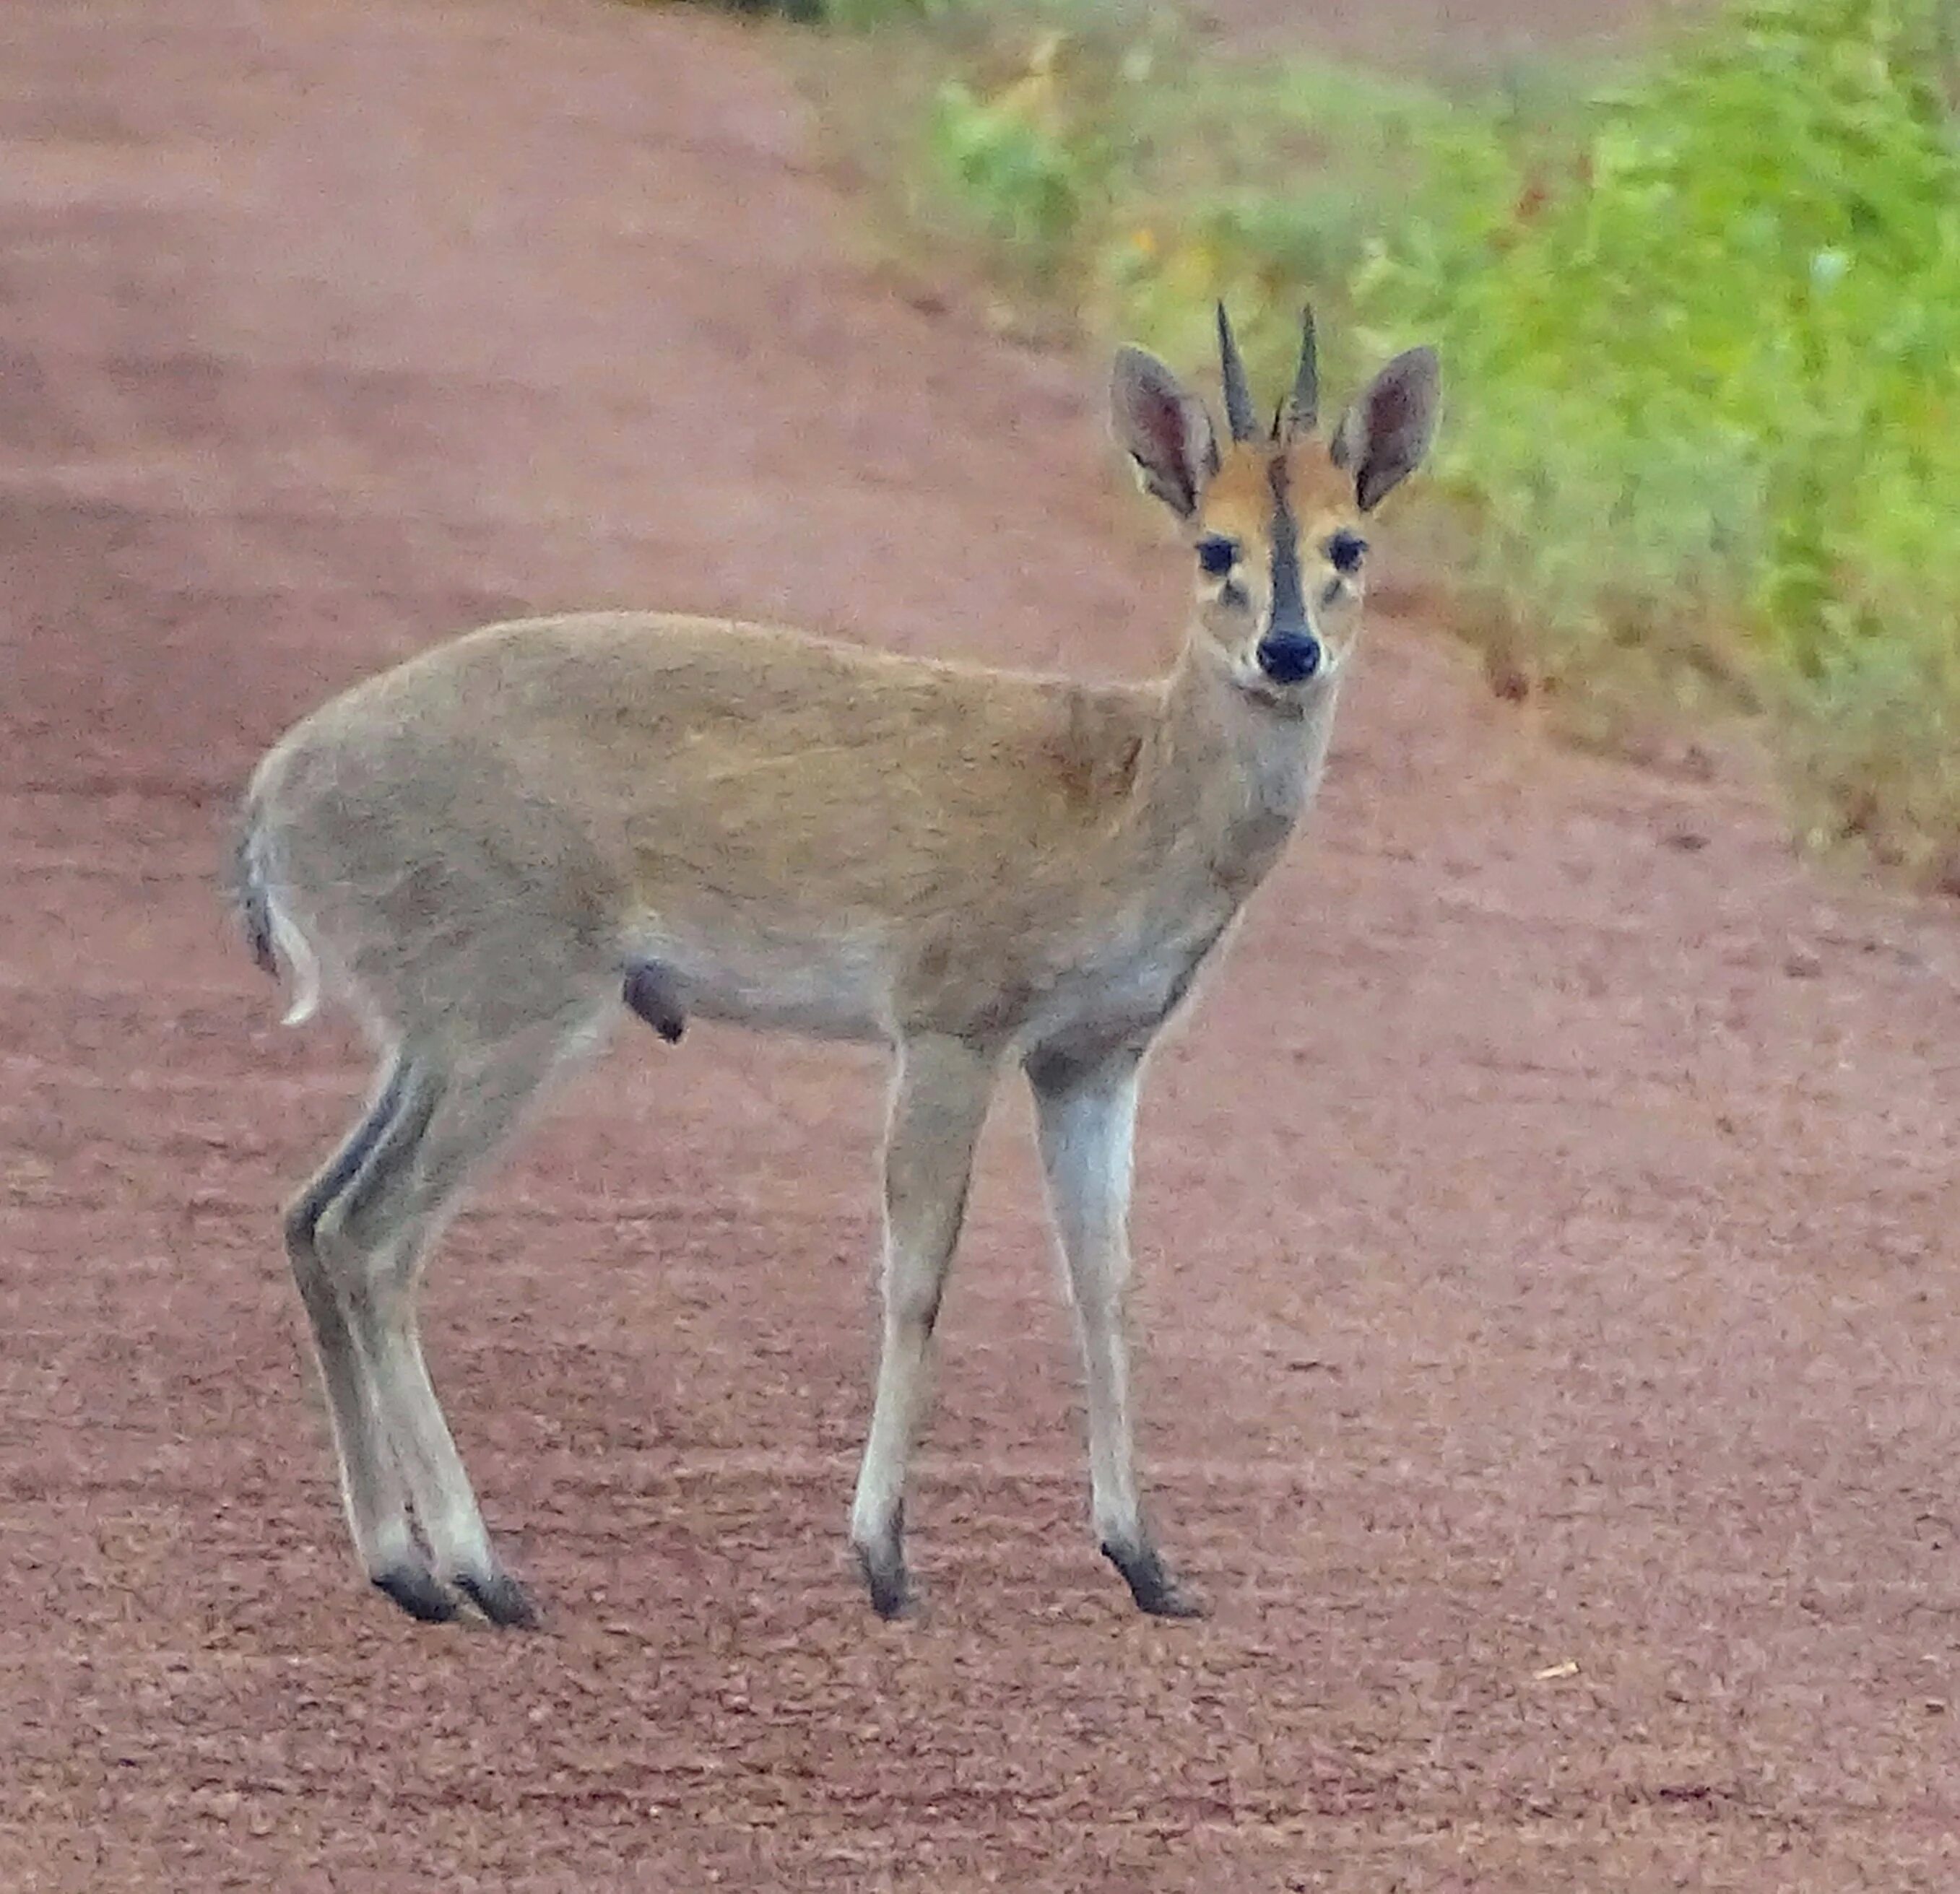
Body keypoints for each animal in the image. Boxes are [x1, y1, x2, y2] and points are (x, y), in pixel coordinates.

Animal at [233, 303, 1442, 1623]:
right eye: (1213, 545)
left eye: (1347, 542)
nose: (1288, 648)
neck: (1123, 795)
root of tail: (272, 797)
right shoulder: (951, 1018)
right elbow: (918, 1271)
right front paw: (883, 1556)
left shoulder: (1094, 1056)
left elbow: (1104, 1280)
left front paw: (1147, 1561)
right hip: (515, 1007)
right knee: (374, 1233)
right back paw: (483, 1569)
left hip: (431, 1031)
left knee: (311, 1213)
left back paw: (405, 1565)